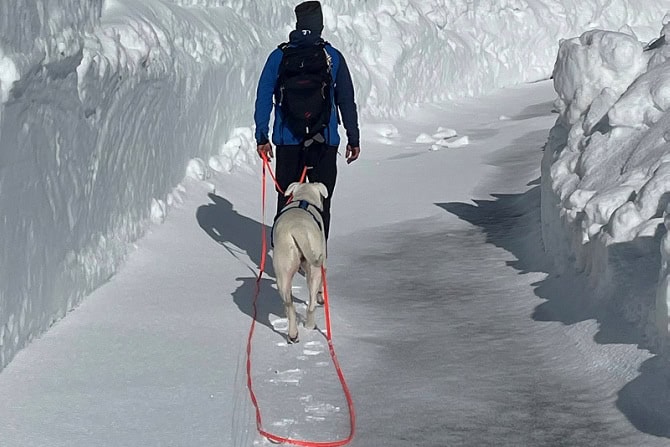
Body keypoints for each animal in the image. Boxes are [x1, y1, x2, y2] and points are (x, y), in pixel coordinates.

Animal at [272, 182, 330, 344]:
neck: (304, 197)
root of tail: (298, 229)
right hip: (315, 267)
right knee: (311, 304)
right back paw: (310, 326)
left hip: (283, 271)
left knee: (290, 305)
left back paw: (293, 334)